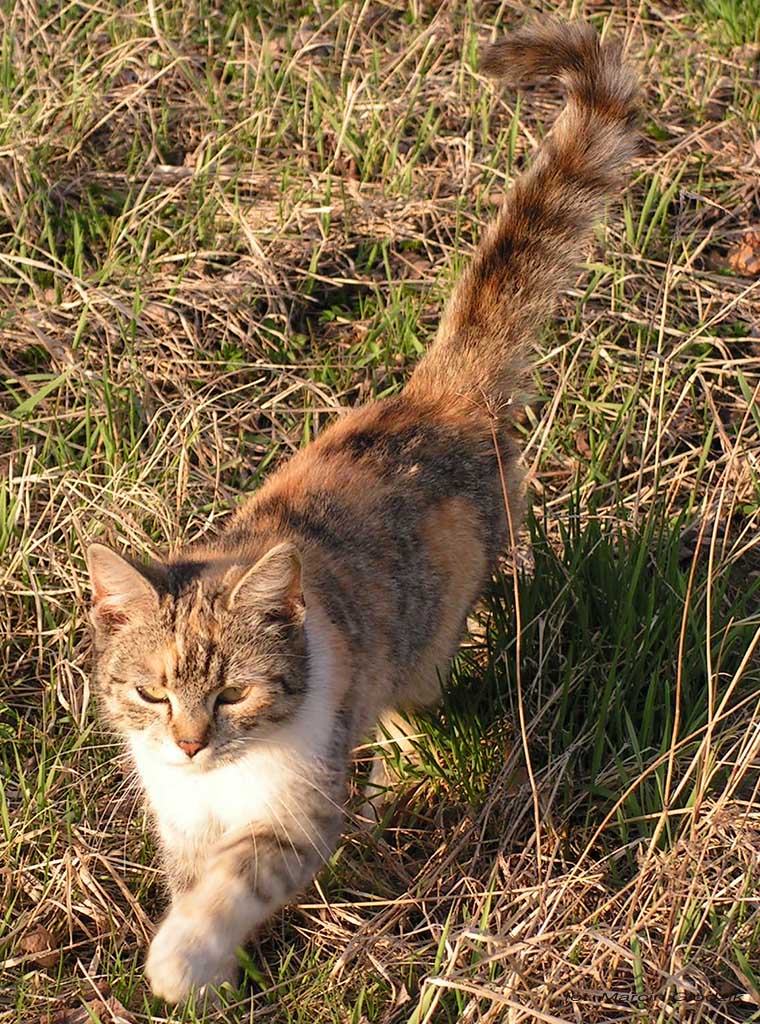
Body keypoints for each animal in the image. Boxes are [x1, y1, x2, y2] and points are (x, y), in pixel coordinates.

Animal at [86, 20, 639, 1004]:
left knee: (415, 702)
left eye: (235, 693)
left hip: (428, 634)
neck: (218, 787)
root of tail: (436, 396)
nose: (187, 746)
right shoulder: (180, 821)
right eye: (151, 692)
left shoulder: (296, 813)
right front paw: (216, 986)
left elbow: (233, 884)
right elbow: (192, 879)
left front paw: (181, 963)